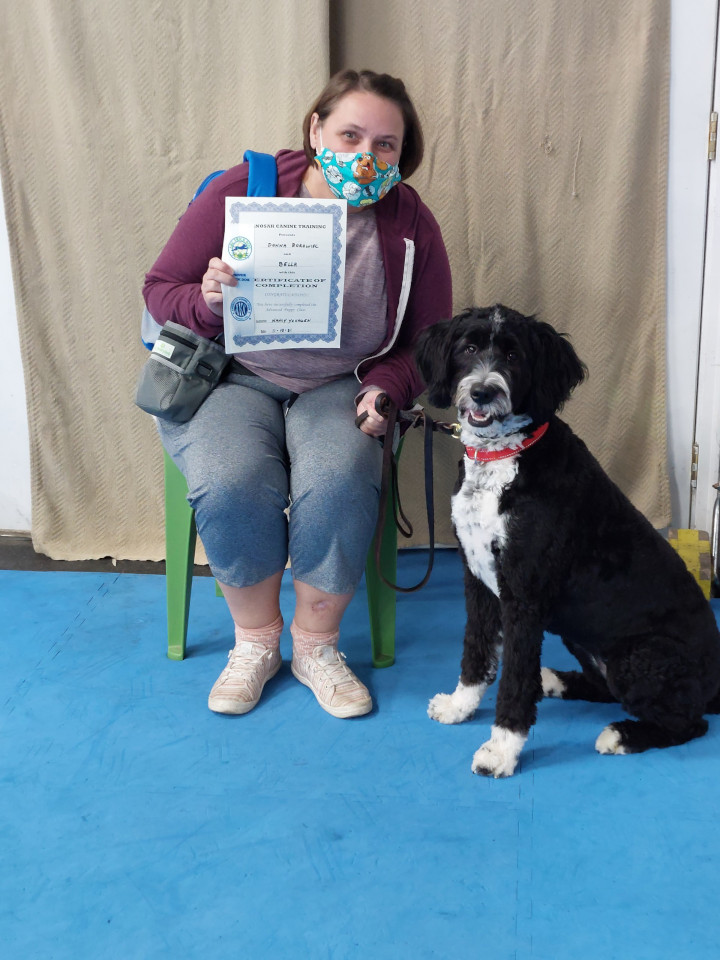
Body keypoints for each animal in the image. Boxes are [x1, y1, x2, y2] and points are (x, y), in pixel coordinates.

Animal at [414, 308, 720, 780]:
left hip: (641, 657)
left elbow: (514, 679)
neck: (503, 460)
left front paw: (501, 750)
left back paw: (621, 735)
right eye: (469, 348)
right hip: (584, 639)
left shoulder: (523, 597)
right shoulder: (478, 582)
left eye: (513, 355)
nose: (483, 392)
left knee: (689, 722)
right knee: (605, 687)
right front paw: (460, 706)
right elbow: (476, 651)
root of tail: (718, 680)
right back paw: (555, 680)